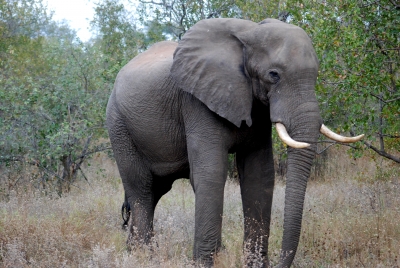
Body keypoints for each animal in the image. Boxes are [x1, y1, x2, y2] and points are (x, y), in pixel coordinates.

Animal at [106, 17, 362, 266]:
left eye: (316, 75)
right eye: (274, 75)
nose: (278, 263)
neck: (250, 33)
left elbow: (259, 175)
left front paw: (256, 263)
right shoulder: (197, 101)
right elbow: (211, 174)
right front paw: (204, 263)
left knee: (156, 191)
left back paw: (136, 252)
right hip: (118, 126)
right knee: (142, 189)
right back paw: (142, 256)